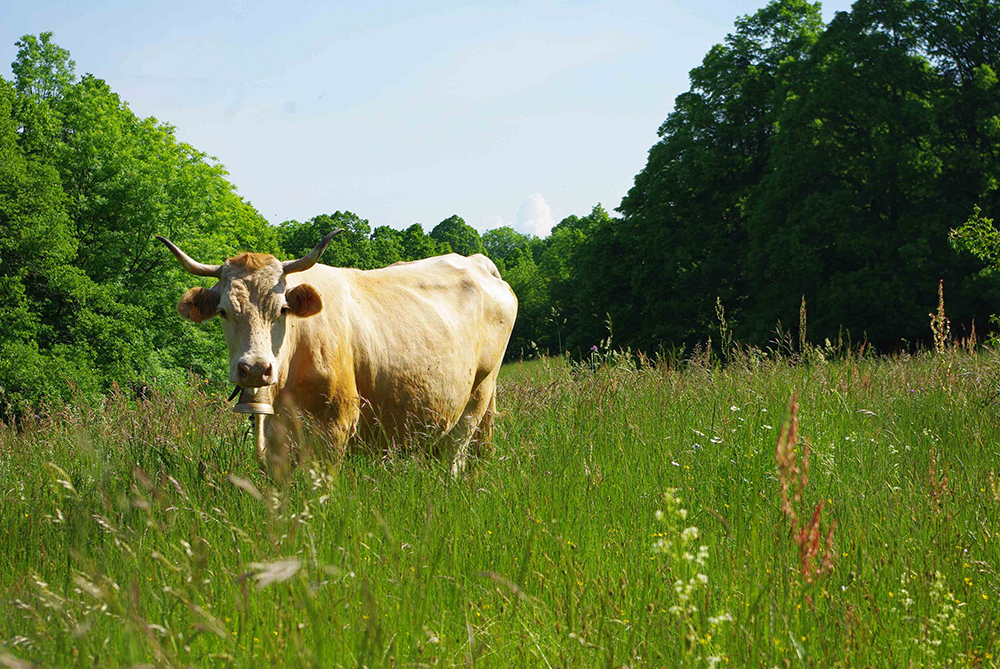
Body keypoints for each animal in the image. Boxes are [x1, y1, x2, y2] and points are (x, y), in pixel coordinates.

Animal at [158, 230, 516, 470]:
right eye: (223, 311)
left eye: (282, 309)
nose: (256, 368)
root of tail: (476, 261)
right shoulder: (276, 435)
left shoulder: (336, 423)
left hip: (478, 393)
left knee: (456, 451)